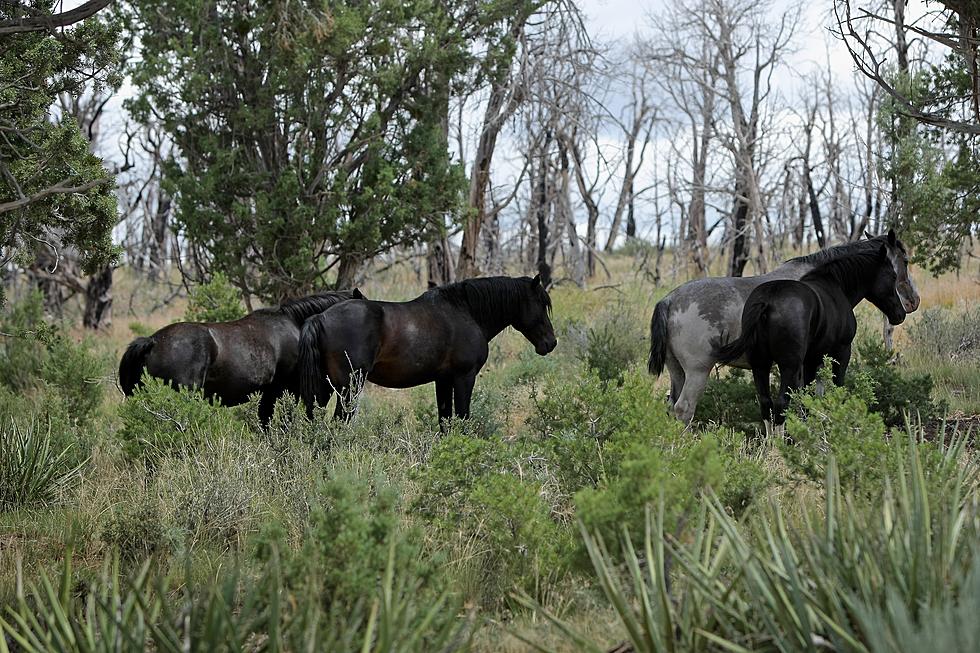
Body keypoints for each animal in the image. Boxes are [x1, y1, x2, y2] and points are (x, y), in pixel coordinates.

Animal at [296, 274, 560, 422]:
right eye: (540, 303)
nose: (551, 342)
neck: (464, 312)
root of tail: (320, 318)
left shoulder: (443, 380)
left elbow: (445, 420)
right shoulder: (464, 377)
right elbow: (462, 418)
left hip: (325, 388)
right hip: (348, 388)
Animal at [652, 229, 920, 422]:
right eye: (905, 261)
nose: (912, 302)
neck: (826, 281)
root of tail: (669, 300)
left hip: (677, 372)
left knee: (672, 405)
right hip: (697, 372)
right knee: (684, 409)